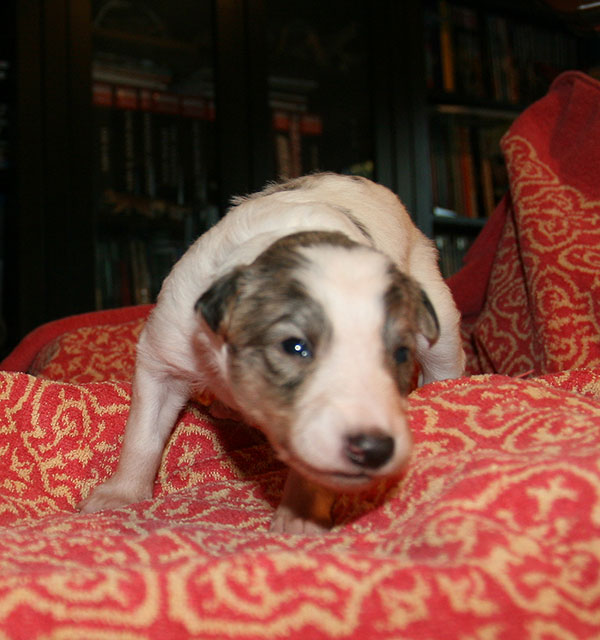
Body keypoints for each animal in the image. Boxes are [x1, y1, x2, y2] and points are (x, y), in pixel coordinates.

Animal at [79, 173, 465, 533]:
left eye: (399, 353)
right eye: (294, 346)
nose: (374, 449)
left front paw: (301, 513)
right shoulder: (163, 354)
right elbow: (142, 434)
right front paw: (121, 494)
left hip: (438, 313)